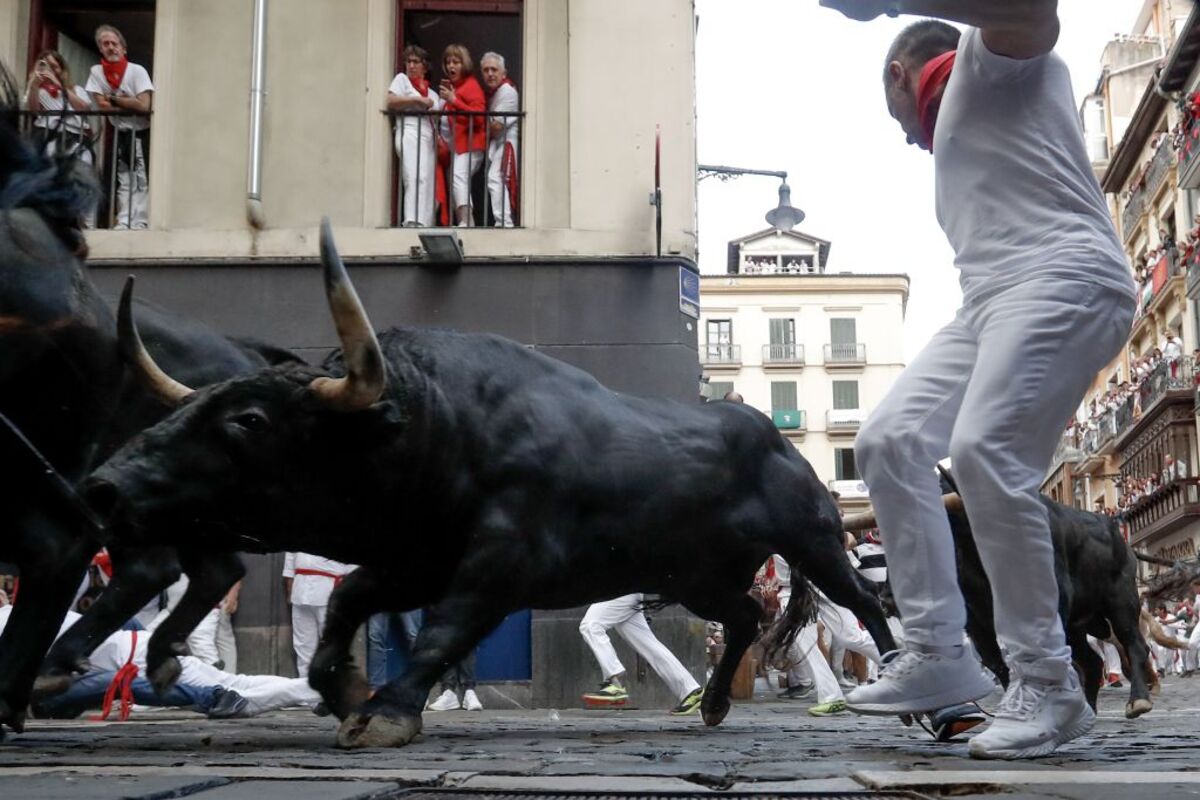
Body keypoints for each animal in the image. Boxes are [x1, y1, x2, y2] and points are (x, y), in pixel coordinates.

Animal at [82, 220, 892, 753]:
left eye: (248, 420)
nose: (105, 487)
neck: (441, 424)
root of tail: (772, 440)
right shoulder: (415, 560)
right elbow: (349, 599)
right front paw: (341, 687)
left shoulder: (501, 562)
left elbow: (446, 627)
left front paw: (386, 708)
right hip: (693, 574)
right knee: (746, 618)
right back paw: (718, 701)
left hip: (812, 540)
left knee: (860, 597)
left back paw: (890, 674)